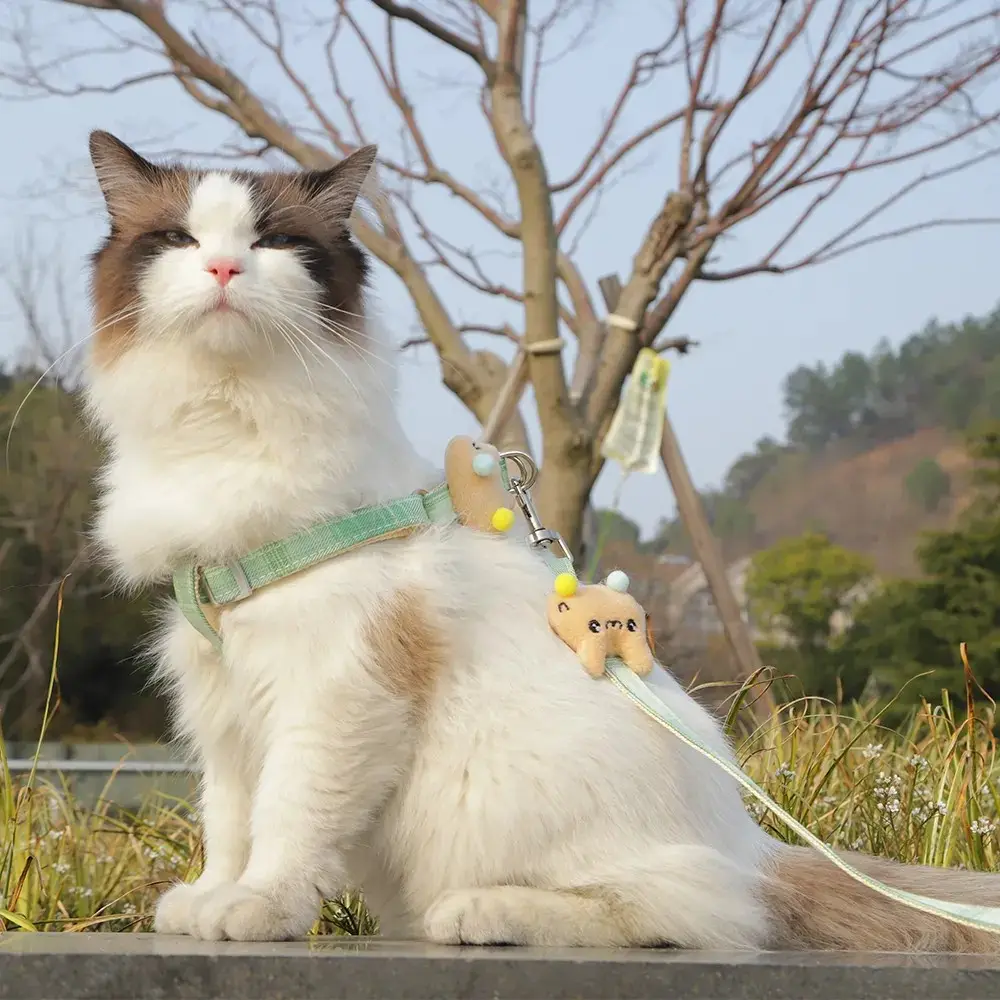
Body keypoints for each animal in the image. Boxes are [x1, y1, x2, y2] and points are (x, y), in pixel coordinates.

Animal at [82, 133, 1000, 952]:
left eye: (271, 243)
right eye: (181, 241)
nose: (223, 271)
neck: (228, 430)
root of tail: (755, 849)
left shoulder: (333, 693)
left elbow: (286, 821)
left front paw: (257, 909)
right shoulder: (224, 705)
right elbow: (229, 821)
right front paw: (209, 899)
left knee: (674, 913)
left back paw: (478, 914)